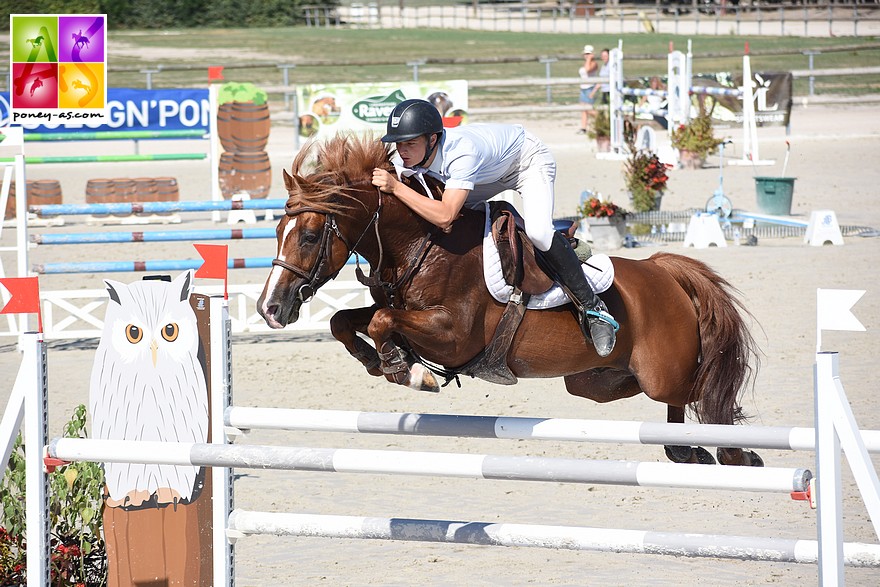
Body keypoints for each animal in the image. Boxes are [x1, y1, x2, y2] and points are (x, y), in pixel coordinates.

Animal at [256, 136, 764, 466]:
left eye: (310, 234)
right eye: (278, 230)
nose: (270, 309)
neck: (423, 243)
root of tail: (663, 269)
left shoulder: (454, 335)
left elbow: (382, 320)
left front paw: (409, 370)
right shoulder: (405, 311)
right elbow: (347, 319)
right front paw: (377, 360)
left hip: (662, 372)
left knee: (703, 394)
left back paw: (736, 453)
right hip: (595, 382)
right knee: (672, 409)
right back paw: (687, 449)